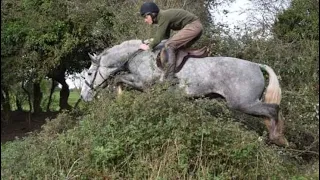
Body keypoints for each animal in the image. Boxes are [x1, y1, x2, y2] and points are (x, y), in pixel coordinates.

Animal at [80, 39, 290, 146]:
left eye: (89, 73)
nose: (83, 97)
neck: (136, 56)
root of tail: (256, 65)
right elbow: (120, 79)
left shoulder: (143, 83)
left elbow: (119, 79)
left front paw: (119, 96)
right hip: (246, 103)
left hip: (242, 103)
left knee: (273, 110)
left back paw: (278, 139)